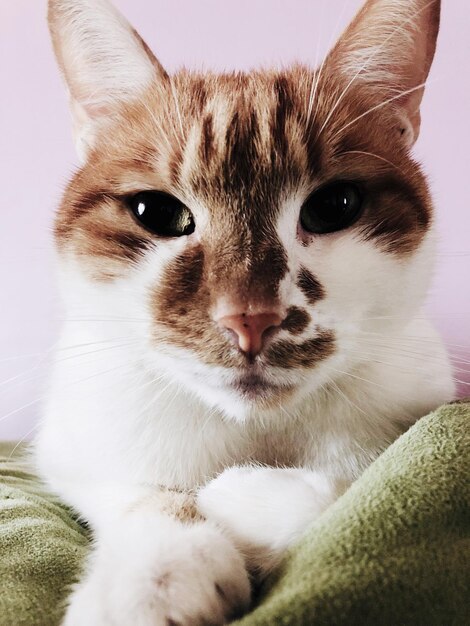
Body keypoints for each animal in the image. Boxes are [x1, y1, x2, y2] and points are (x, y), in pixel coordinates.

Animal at [36, 0, 456, 620]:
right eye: (156, 212)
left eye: (334, 205)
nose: (251, 320)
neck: (256, 433)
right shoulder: (73, 453)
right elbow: (147, 497)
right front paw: (154, 578)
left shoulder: (419, 430)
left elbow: (364, 486)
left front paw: (243, 496)